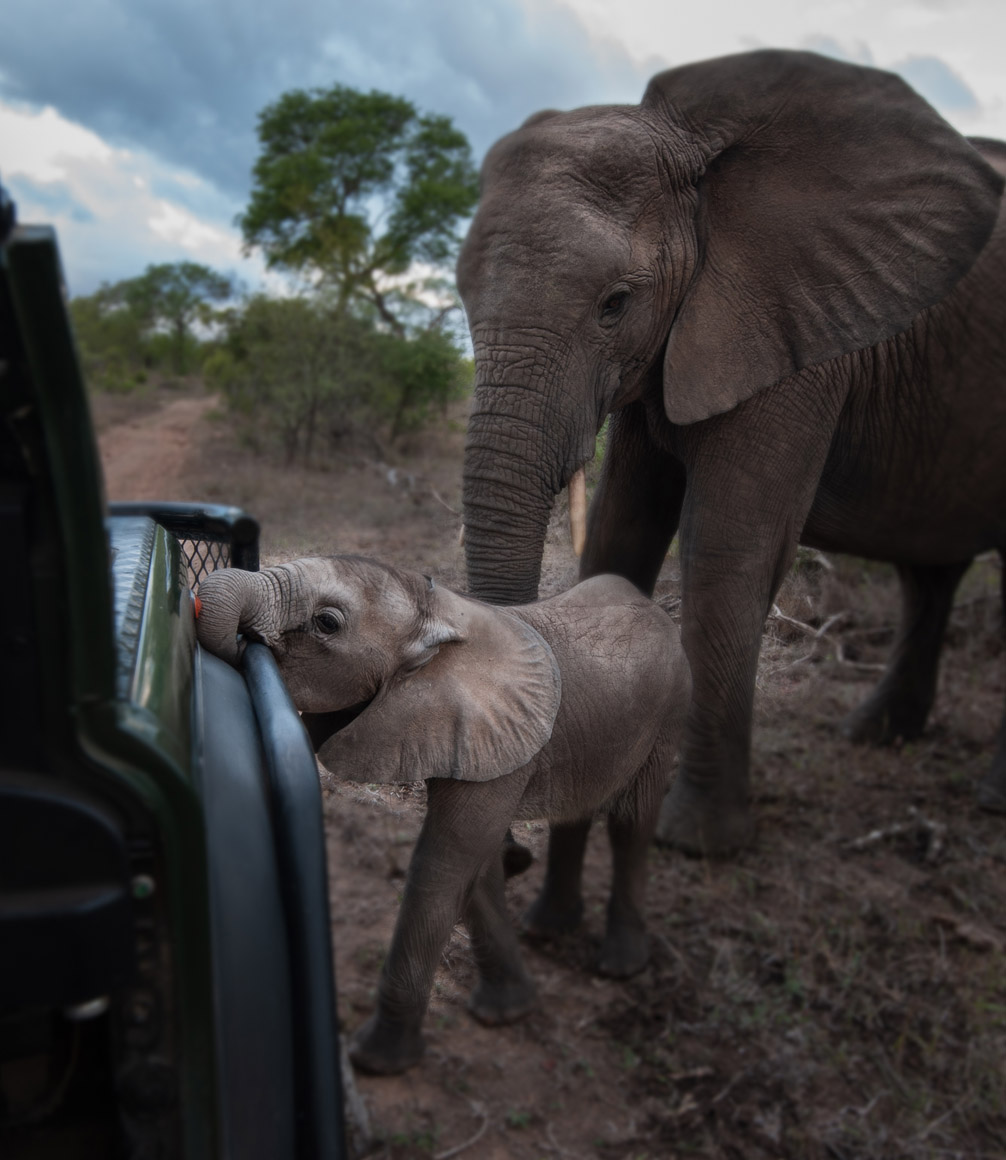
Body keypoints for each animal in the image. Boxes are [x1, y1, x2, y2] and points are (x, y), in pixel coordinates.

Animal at [194, 555, 690, 1074]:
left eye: (327, 623)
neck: (439, 611)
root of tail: (656, 607)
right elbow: (474, 865)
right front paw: (506, 1012)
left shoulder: (499, 741)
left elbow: (442, 866)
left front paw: (376, 1059)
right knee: (577, 811)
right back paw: (547, 927)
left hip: (672, 707)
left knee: (632, 822)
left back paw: (620, 965)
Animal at [456, 47, 1006, 858]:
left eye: (615, 304)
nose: (514, 853)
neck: (695, 155)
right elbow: (622, 531)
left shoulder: (795, 325)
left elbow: (724, 550)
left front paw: (695, 841)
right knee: (928, 574)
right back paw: (873, 736)